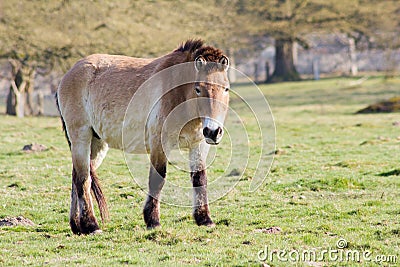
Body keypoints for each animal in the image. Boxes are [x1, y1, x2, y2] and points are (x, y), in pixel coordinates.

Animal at [57, 39, 231, 234]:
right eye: (198, 89)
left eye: (226, 89)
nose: (213, 131)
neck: (178, 92)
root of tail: (70, 73)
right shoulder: (159, 144)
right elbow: (157, 179)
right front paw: (153, 221)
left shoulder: (198, 145)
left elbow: (200, 179)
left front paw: (204, 219)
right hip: (81, 137)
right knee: (83, 179)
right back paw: (91, 225)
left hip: (97, 144)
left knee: (76, 178)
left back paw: (77, 226)